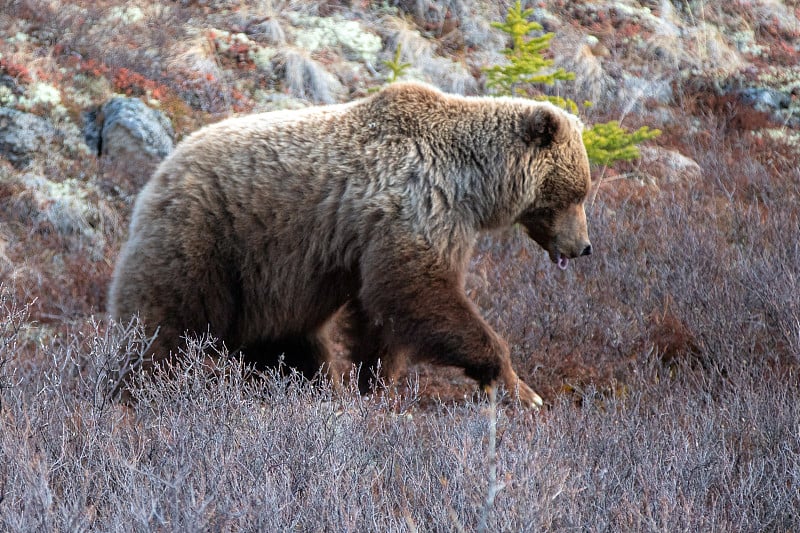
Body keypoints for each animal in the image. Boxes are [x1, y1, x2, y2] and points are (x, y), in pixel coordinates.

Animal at [109, 82, 592, 408]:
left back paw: (314, 390)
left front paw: (375, 386)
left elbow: (381, 317)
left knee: (287, 346)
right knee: (164, 325)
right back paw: (137, 393)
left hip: (266, 287)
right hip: (207, 237)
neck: (469, 184)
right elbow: (418, 290)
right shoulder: (417, 204)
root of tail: (160, 171)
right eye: (576, 194)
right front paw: (518, 386)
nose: (584, 246)